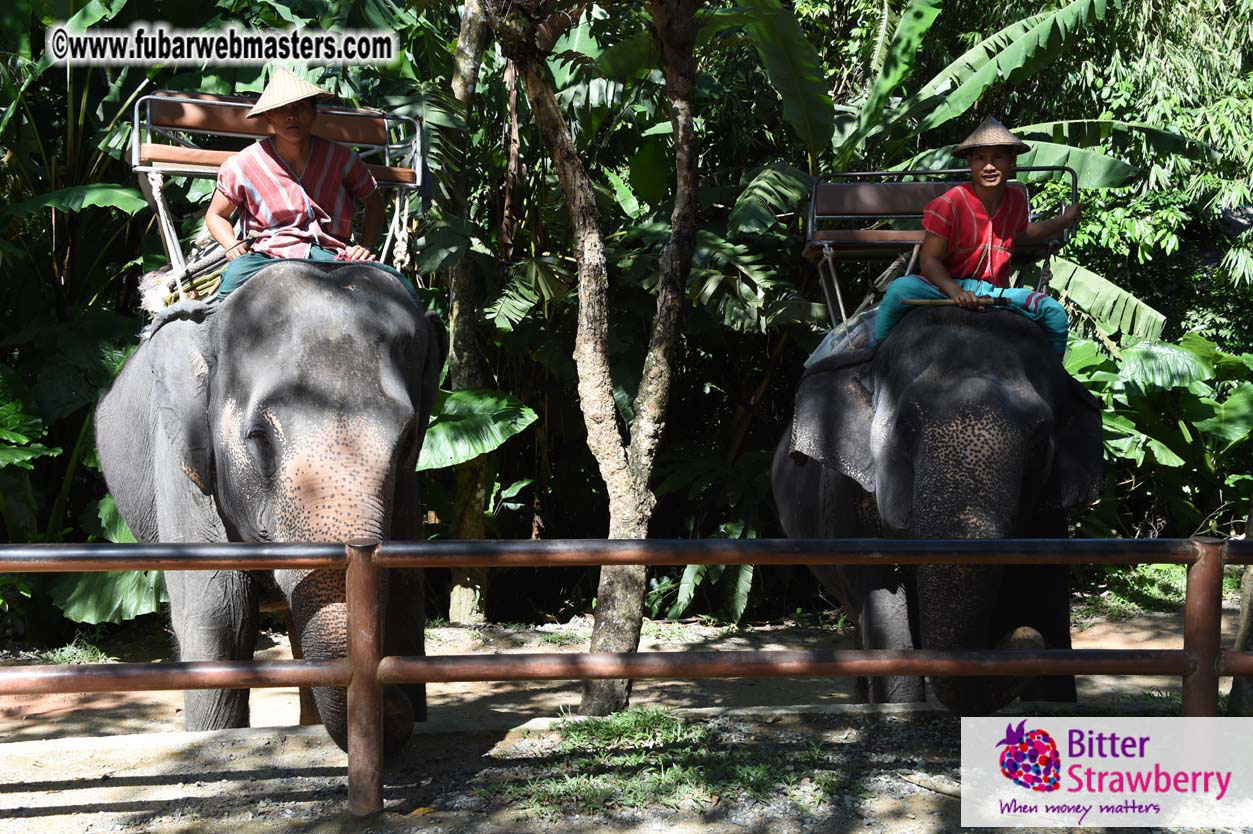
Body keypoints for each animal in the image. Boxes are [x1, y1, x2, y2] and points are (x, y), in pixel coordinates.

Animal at [95, 260, 446, 756]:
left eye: (408, 439)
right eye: (259, 440)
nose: (392, 706)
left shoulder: (406, 496)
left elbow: (402, 607)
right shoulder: (186, 474)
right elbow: (219, 618)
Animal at [772, 305, 1104, 714]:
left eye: (1041, 442)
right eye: (905, 427)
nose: (1022, 636)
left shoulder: (1048, 517)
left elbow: (1046, 609)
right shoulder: (849, 505)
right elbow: (885, 619)